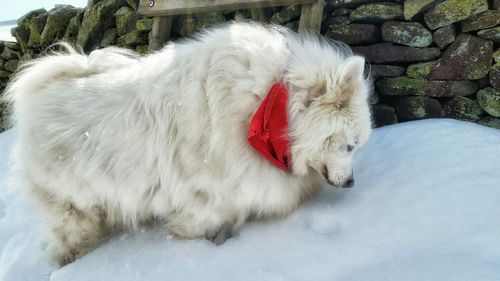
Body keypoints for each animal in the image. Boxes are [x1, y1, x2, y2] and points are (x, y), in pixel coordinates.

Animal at [3, 22, 372, 264]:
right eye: (350, 145)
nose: (352, 183)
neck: (268, 108)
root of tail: (44, 89)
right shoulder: (206, 186)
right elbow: (204, 214)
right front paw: (194, 237)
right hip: (70, 203)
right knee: (71, 231)